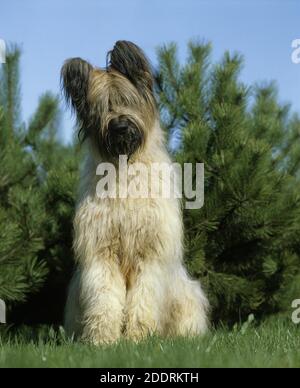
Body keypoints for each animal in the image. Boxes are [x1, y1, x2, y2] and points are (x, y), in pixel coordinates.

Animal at [61, 41, 209, 344]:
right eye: (102, 107)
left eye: (127, 99)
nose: (119, 126)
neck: (124, 170)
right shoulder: (101, 250)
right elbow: (104, 296)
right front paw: (103, 339)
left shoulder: (149, 251)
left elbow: (144, 298)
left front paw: (139, 337)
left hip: (186, 292)